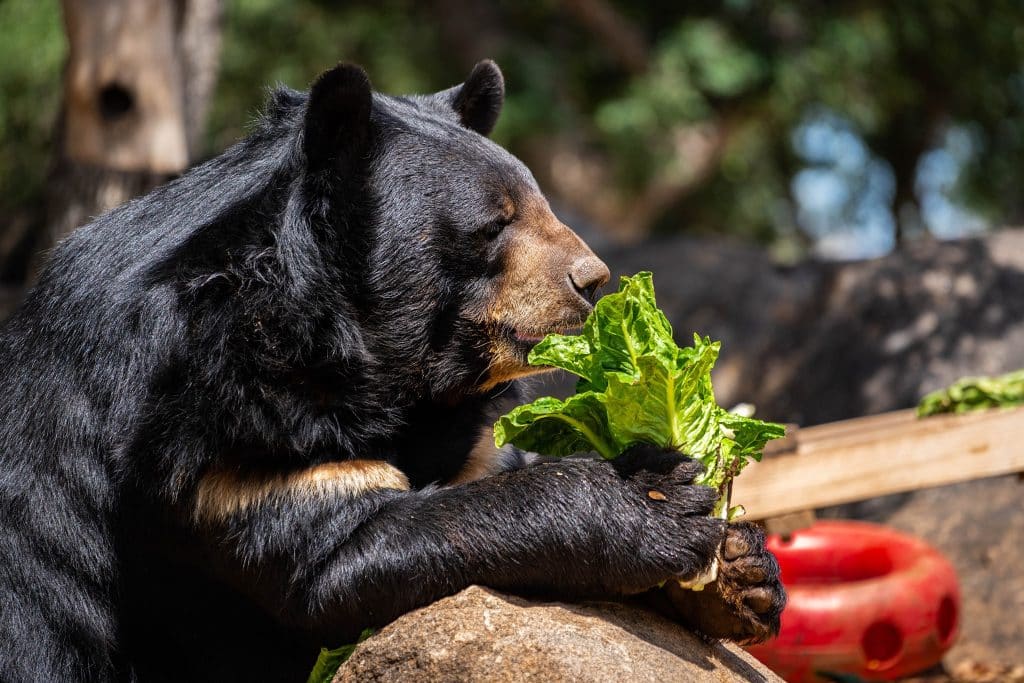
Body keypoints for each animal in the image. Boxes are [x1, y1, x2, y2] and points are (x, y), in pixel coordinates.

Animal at [0, 60, 784, 682]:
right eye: (495, 223)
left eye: (542, 204)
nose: (592, 280)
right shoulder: (213, 428)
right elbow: (338, 549)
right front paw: (655, 501)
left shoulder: (454, 429)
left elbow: (483, 468)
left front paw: (738, 568)